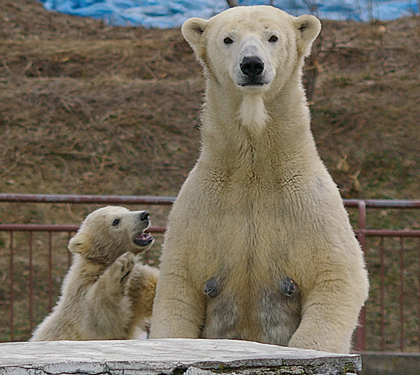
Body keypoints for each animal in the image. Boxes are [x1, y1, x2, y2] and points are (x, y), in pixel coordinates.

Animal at [151, 5, 368, 354]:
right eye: (228, 38)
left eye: (273, 36)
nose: (252, 64)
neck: (255, 167)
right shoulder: (200, 208)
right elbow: (178, 286)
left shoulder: (309, 203)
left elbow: (337, 276)